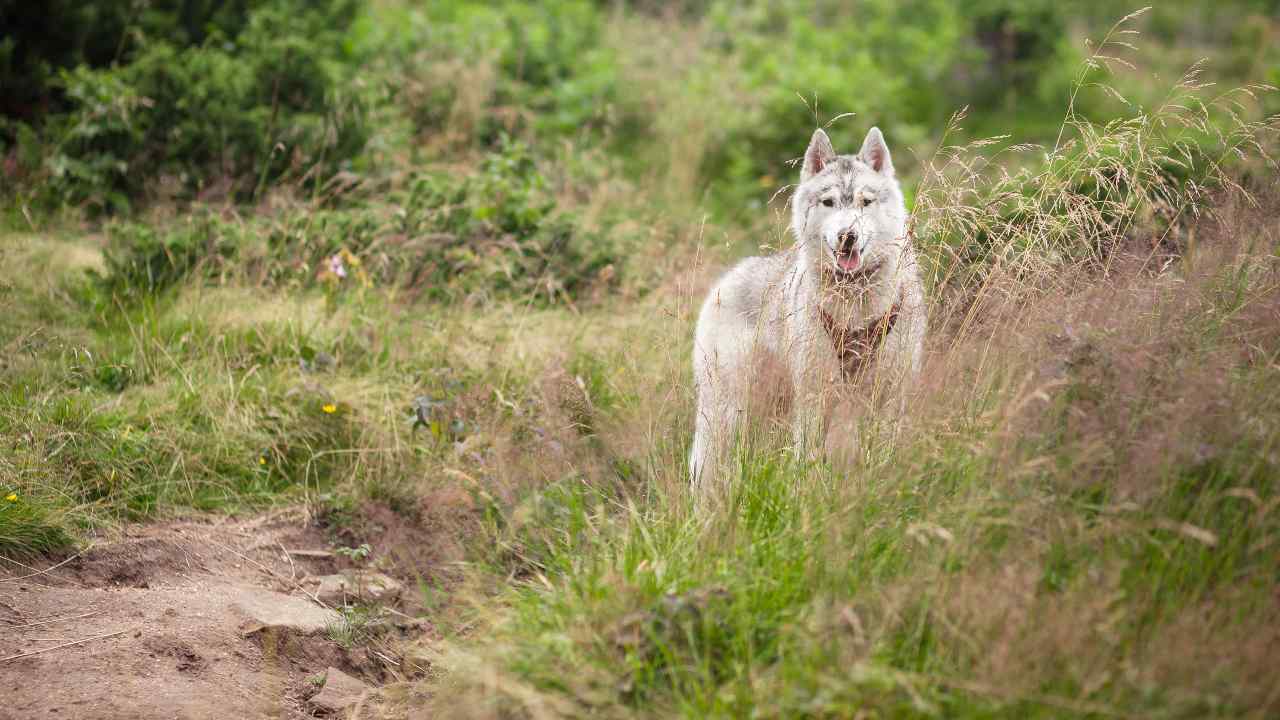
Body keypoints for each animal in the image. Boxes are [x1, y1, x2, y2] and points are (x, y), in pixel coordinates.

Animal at [691, 126, 931, 491]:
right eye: (829, 202)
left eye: (865, 201)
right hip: (729, 411)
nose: (848, 235)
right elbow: (807, 460)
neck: (854, 303)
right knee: (706, 469)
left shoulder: (889, 394)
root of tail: (728, 277)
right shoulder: (814, 396)